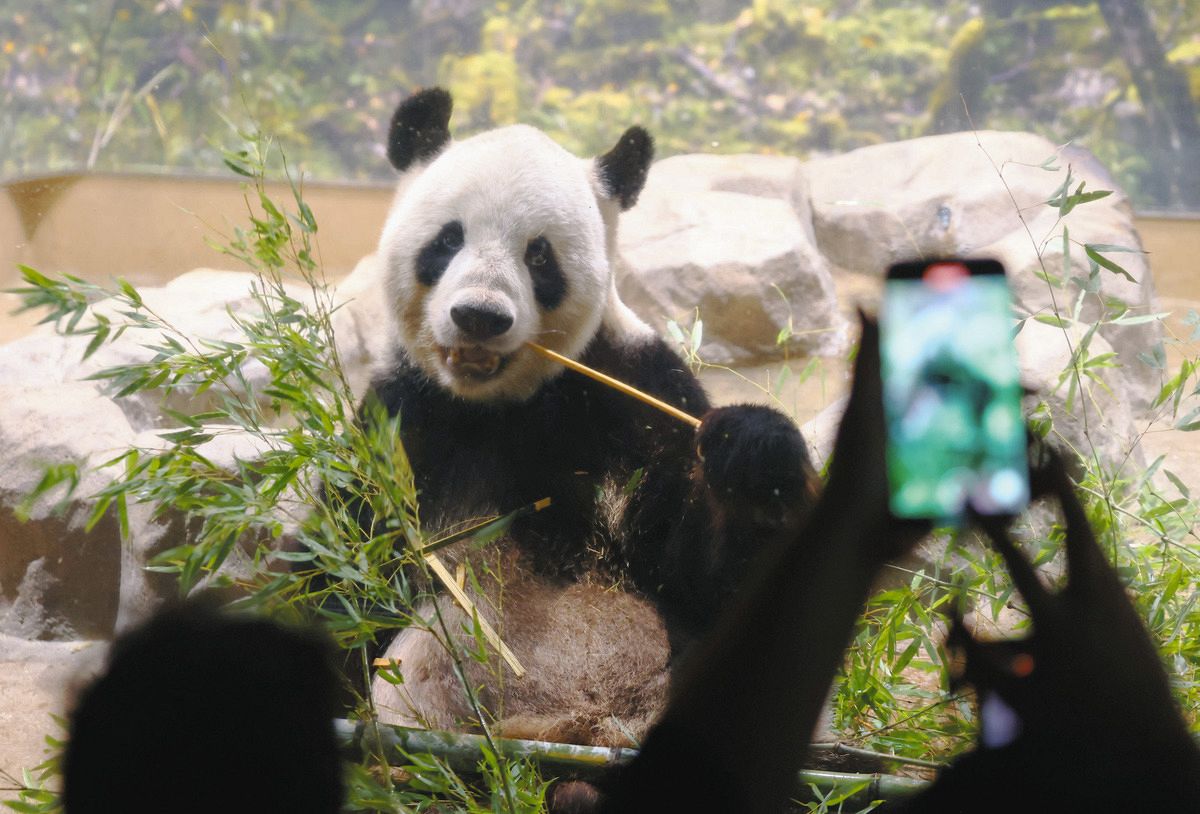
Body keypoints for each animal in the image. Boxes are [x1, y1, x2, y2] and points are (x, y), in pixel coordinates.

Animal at [362, 87, 816, 744]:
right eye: (447, 240)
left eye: (539, 256)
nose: (480, 316)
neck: (504, 405)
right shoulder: (403, 422)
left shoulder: (633, 392)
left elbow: (702, 578)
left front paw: (757, 456)